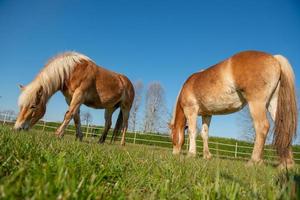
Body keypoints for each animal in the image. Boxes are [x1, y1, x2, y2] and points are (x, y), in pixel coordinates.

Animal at [169, 50, 298, 169]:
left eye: (172, 138)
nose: (174, 154)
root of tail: (275, 58)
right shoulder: (207, 114)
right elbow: (204, 134)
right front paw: (207, 156)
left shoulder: (191, 110)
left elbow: (192, 131)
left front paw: (191, 154)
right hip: (273, 104)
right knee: (285, 128)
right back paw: (286, 164)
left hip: (257, 103)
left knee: (262, 127)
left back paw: (254, 161)